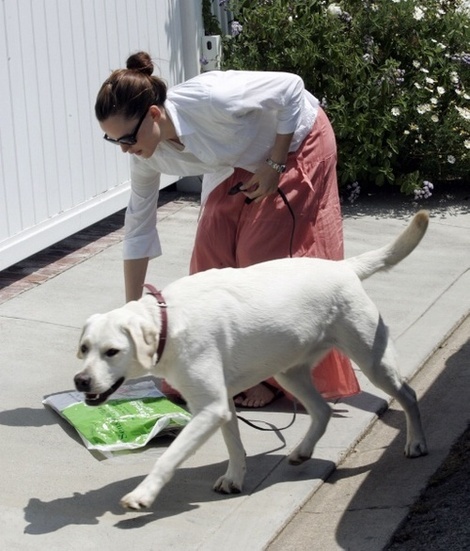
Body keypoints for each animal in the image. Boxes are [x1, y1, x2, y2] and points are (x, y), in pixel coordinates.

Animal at [74, 210, 430, 508]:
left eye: (112, 351)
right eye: (84, 348)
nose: (80, 381)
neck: (167, 322)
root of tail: (343, 266)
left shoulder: (210, 407)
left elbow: (170, 456)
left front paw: (143, 494)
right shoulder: (222, 404)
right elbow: (234, 444)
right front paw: (234, 478)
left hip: (372, 360)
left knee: (409, 394)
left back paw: (416, 443)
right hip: (289, 370)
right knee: (323, 410)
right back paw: (302, 451)